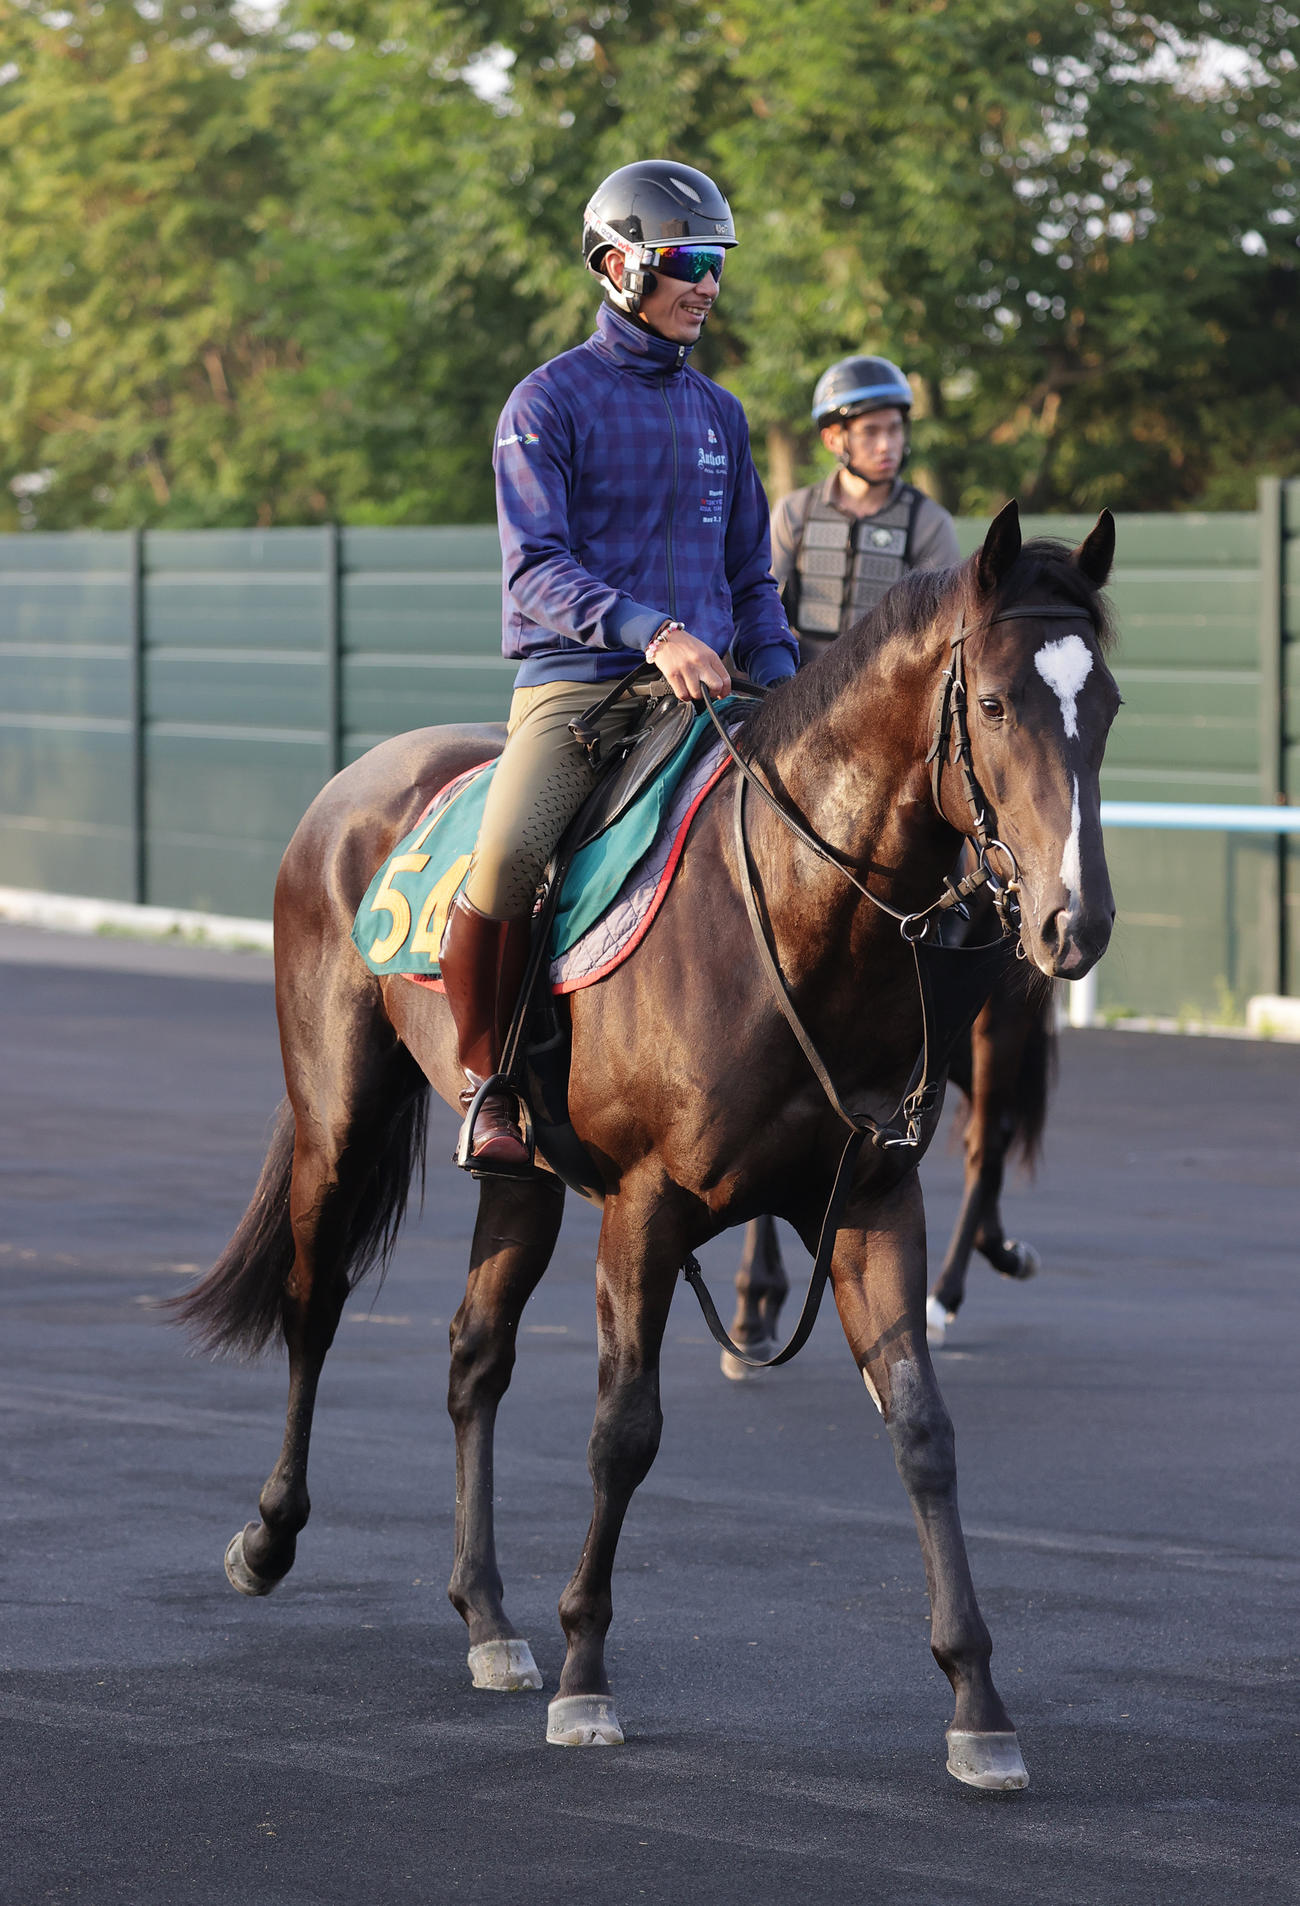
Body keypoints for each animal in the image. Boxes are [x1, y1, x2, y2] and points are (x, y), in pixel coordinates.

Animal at [724, 909, 1055, 1371]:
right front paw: (757, 1306)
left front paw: (754, 1307)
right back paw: (1002, 1251)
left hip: (995, 1010)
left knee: (989, 1138)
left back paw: (943, 1296)